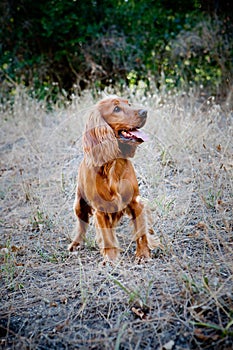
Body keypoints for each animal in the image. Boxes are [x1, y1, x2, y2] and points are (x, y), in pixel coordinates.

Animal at [68, 95, 161, 262]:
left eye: (128, 104)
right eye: (116, 108)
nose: (145, 112)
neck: (112, 164)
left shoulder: (136, 202)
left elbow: (141, 232)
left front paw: (143, 255)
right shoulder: (100, 209)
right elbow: (106, 237)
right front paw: (111, 260)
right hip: (79, 204)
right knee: (81, 226)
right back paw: (76, 244)